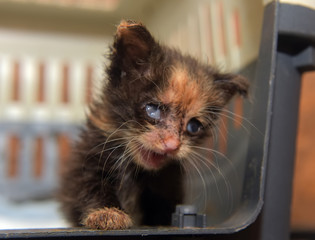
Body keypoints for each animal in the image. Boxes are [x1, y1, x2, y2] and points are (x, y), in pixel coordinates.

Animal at [58, 19, 248, 230]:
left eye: (193, 126)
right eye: (153, 110)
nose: (172, 145)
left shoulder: (169, 182)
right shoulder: (87, 160)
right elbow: (91, 186)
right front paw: (107, 214)